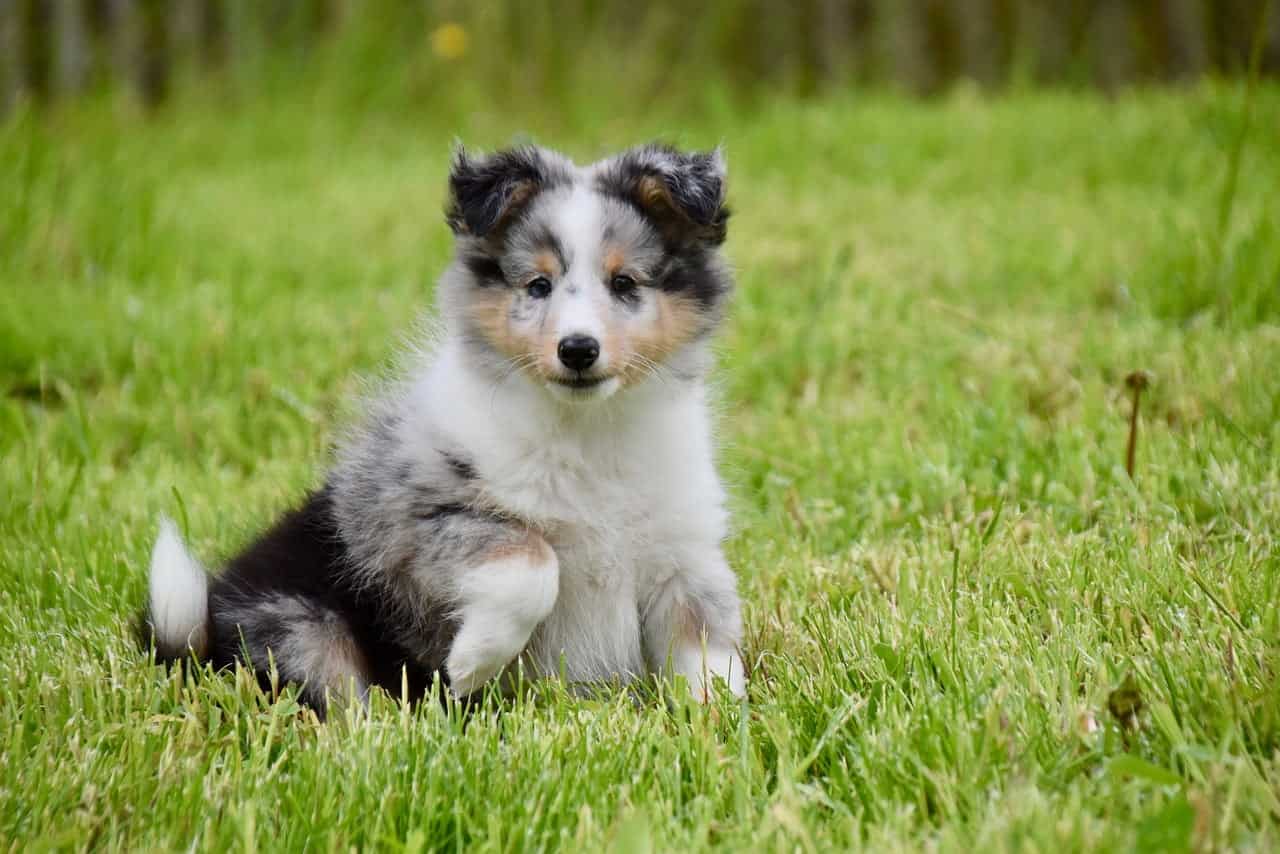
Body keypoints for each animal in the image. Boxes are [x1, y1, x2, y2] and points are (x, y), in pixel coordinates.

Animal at [141, 142, 747, 717]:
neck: (587, 428)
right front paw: (473, 662)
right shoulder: (418, 519)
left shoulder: (683, 553)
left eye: (624, 283)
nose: (577, 350)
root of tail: (204, 639)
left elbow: (708, 643)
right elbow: (533, 562)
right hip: (297, 625)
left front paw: (719, 719)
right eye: (537, 286)